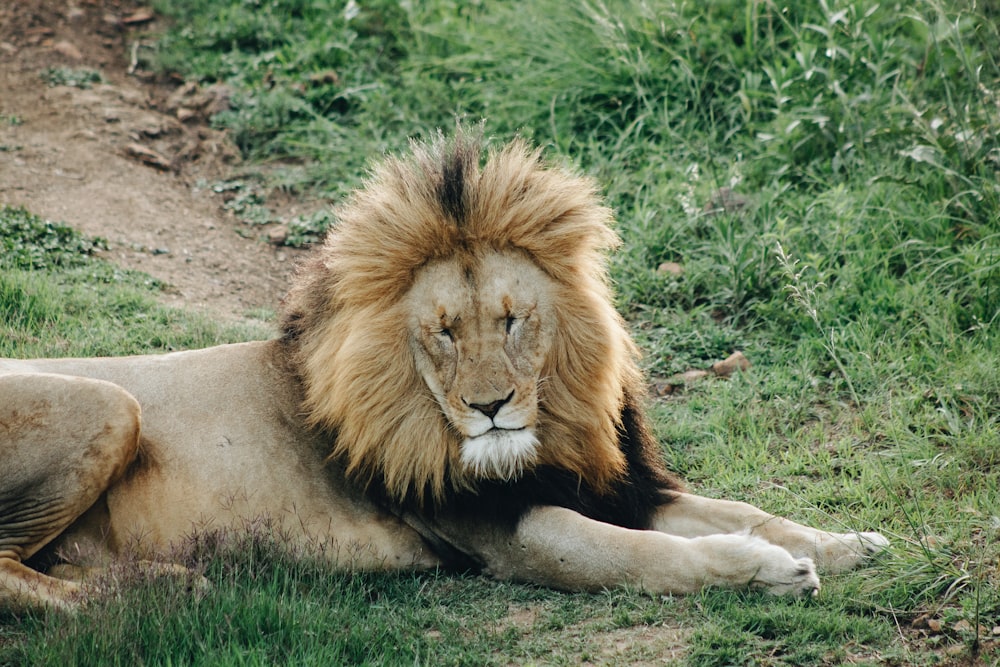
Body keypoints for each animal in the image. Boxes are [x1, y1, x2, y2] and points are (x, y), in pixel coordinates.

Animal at [1, 129, 892, 612]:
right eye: (443, 332)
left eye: (513, 319)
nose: (492, 406)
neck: (547, 434)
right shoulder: (512, 534)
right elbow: (656, 559)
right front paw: (774, 571)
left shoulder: (611, 483)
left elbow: (745, 508)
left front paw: (848, 542)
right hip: (111, 402)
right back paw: (150, 593)